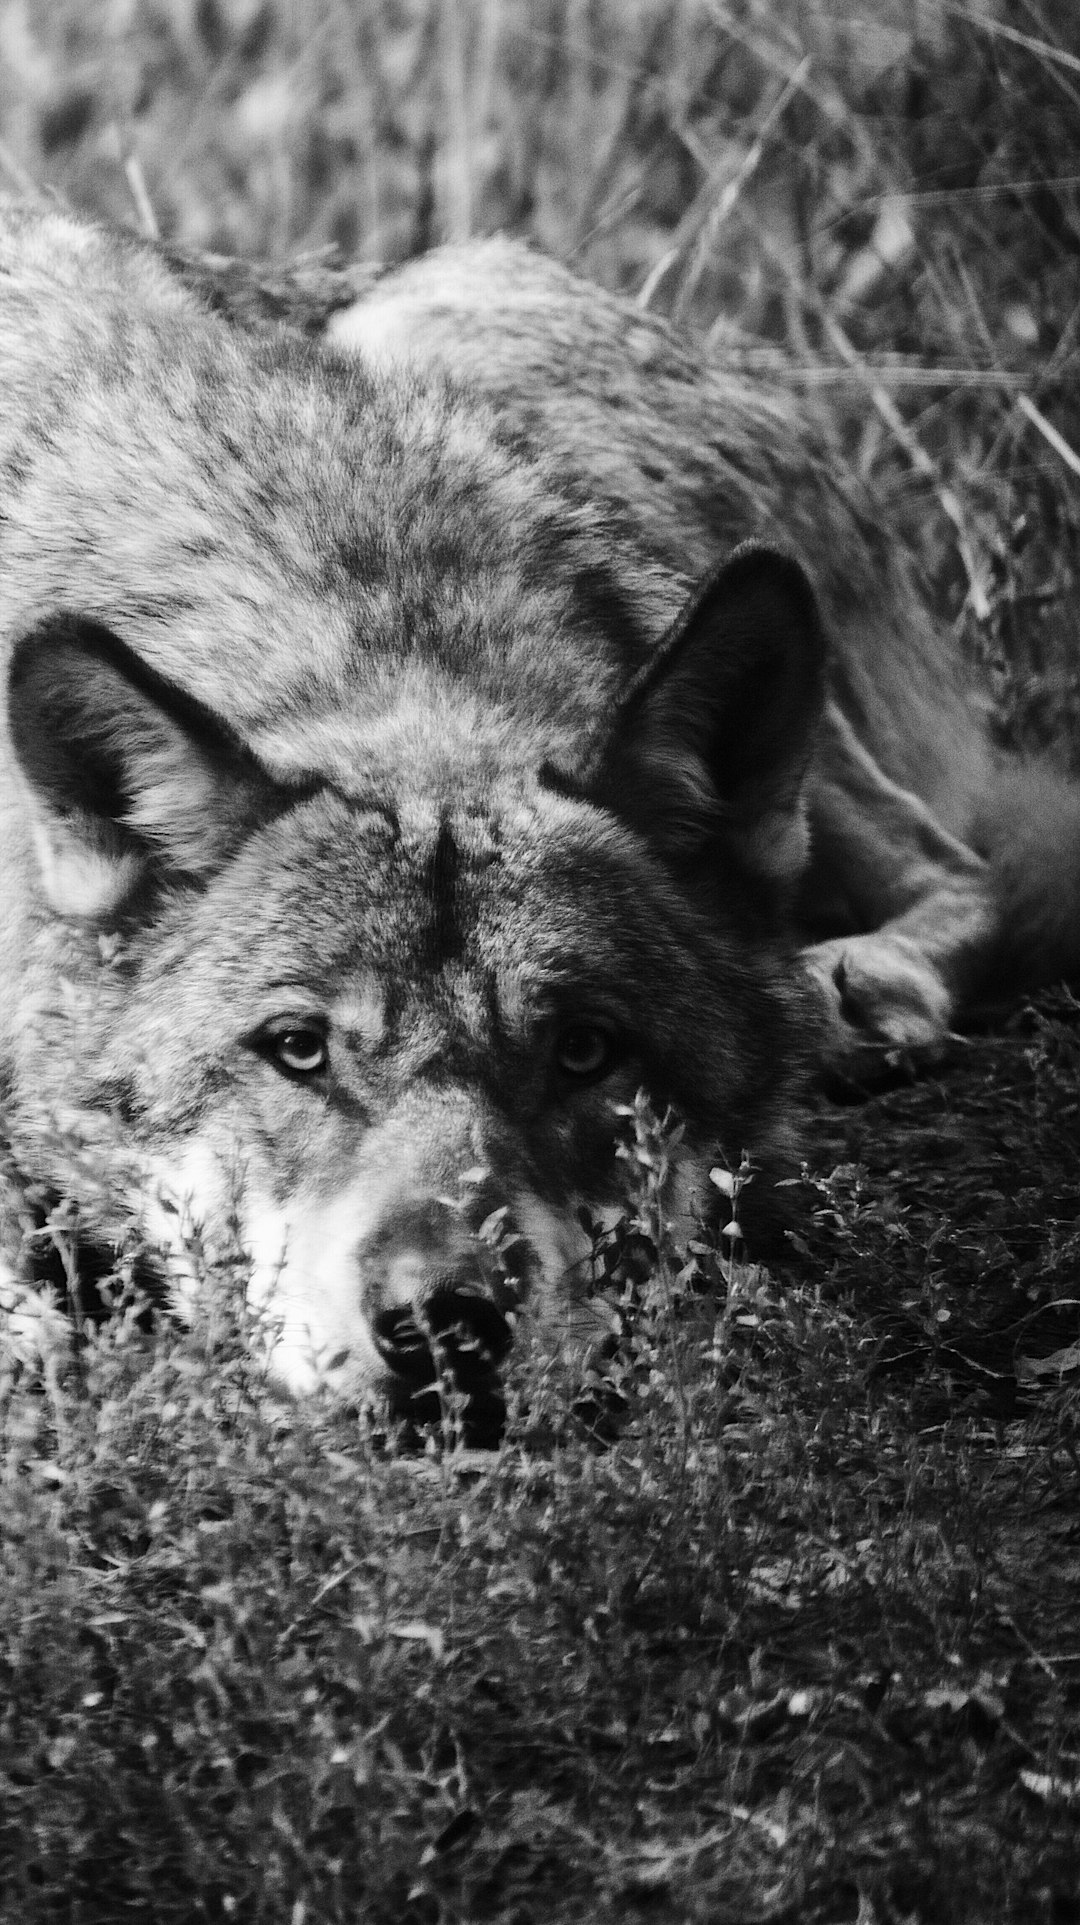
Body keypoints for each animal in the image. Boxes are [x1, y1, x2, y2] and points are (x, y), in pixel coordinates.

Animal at [2, 206, 1078, 1432]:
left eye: (585, 1049)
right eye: (297, 1049)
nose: (444, 1323)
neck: (358, 626)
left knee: (965, 863)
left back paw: (856, 990)